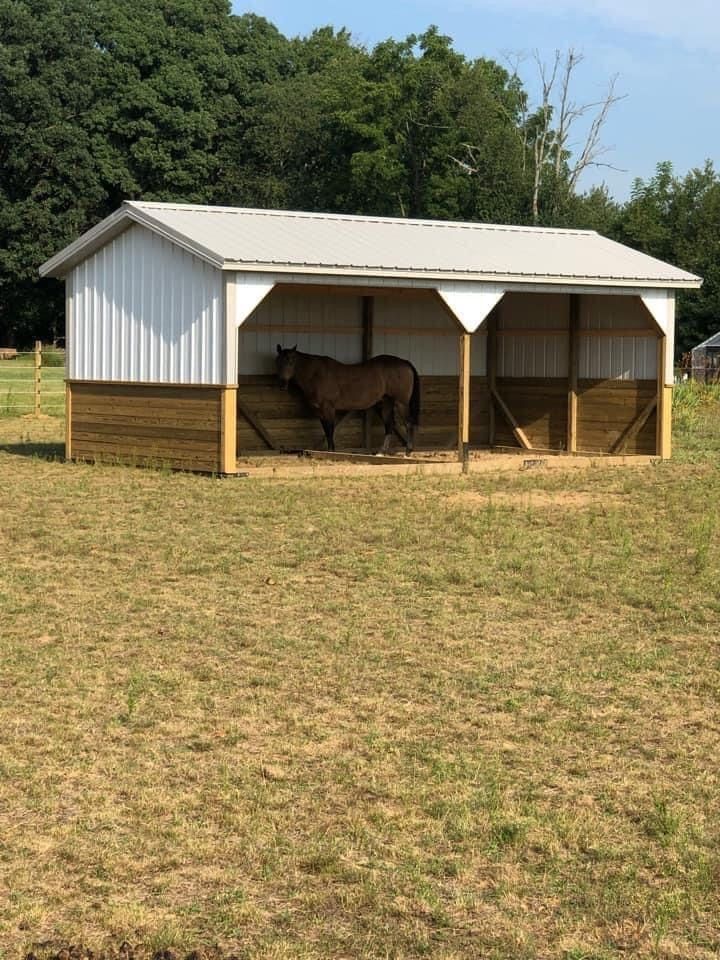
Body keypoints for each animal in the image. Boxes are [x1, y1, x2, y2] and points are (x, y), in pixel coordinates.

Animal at [276, 344, 422, 454]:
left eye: (291, 361)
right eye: (278, 361)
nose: (282, 383)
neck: (316, 374)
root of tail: (405, 362)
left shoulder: (328, 408)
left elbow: (330, 429)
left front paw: (331, 451)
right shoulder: (319, 410)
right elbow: (325, 429)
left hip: (401, 403)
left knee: (408, 423)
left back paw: (407, 452)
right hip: (386, 403)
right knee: (389, 426)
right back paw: (382, 452)